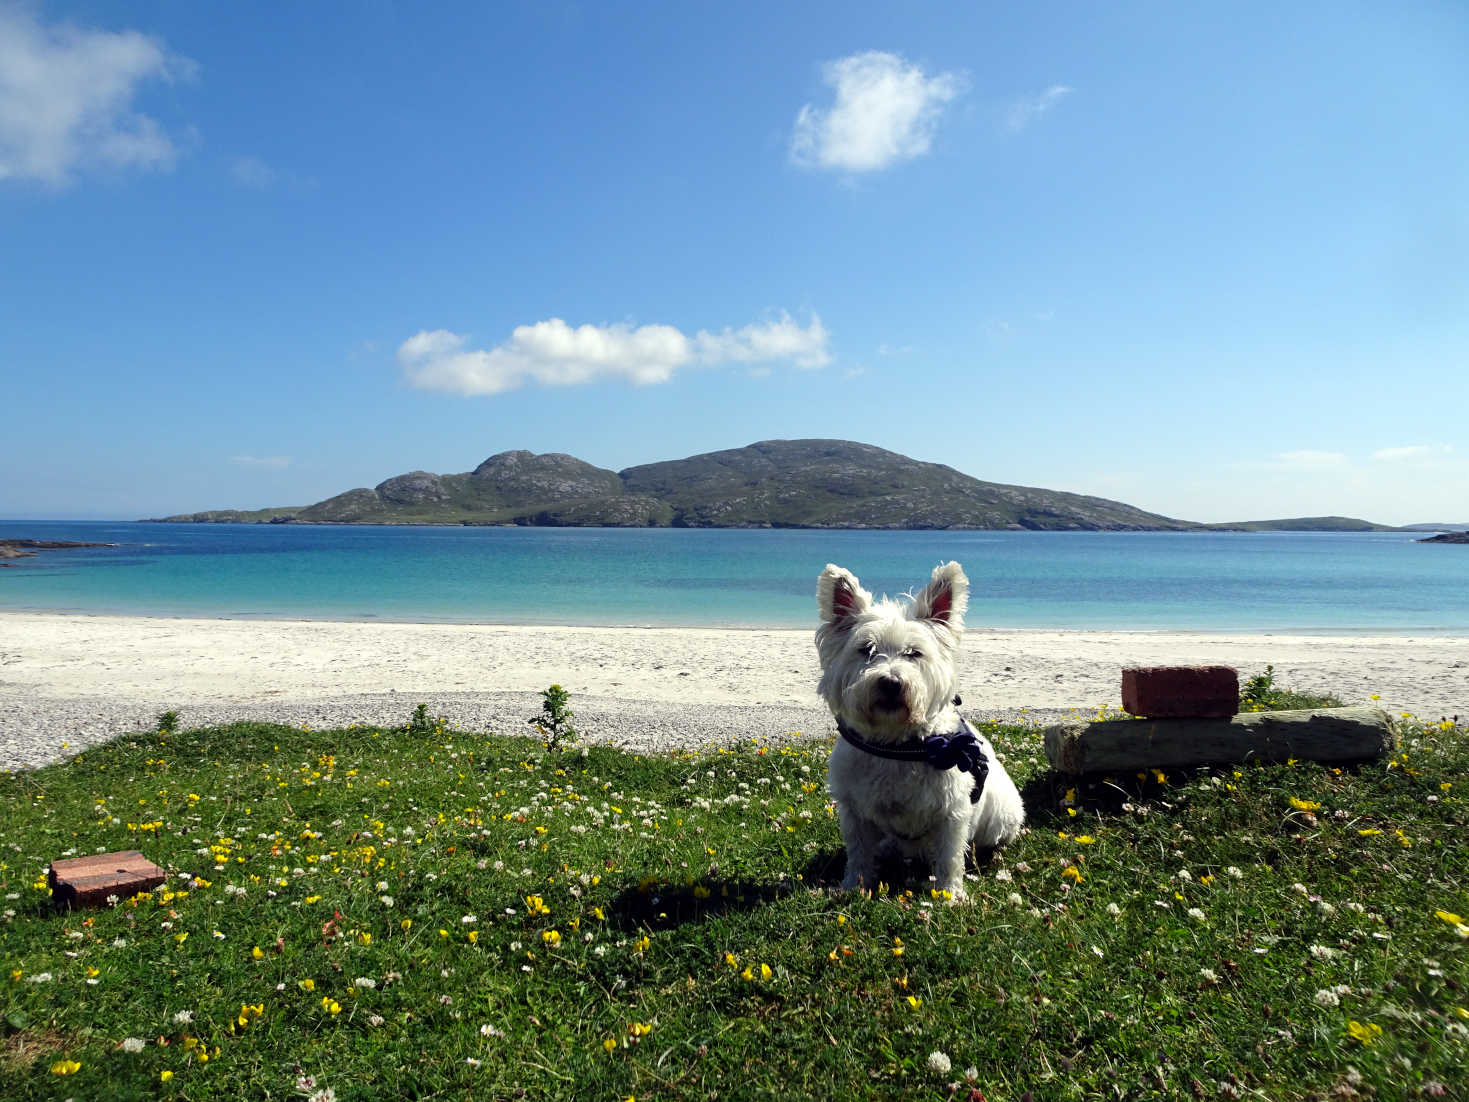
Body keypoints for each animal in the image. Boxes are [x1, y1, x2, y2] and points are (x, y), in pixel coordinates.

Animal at [822, 561, 1028, 899]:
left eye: (914, 653)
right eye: (866, 649)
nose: (891, 683)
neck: (894, 743)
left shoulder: (952, 812)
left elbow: (948, 857)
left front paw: (950, 895)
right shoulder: (854, 810)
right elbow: (859, 853)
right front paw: (854, 886)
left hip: (1002, 817)